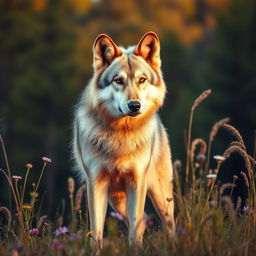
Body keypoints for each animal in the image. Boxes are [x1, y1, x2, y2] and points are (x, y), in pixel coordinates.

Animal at [73, 31, 175, 246]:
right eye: (118, 80)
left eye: (142, 80)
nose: (134, 105)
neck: (121, 135)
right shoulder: (96, 183)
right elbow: (97, 232)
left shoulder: (137, 182)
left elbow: (135, 232)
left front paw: (135, 248)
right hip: (117, 202)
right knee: (142, 221)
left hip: (160, 196)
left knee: (168, 224)